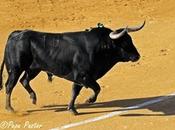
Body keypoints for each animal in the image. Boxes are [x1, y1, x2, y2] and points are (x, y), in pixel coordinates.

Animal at [0, 21, 145, 115]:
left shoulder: (80, 78)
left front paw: (72, 109)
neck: (101, 47)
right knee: (9, 85)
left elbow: (75, 91)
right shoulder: (83, 75)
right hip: (15, 69)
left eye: (130, 40)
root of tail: (17, 34)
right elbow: (97, 88)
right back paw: (10, 108)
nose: (137, 56)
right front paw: (89, 100)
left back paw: (33, 98)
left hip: (34, 69)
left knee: (24, 80)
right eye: (124, 42)